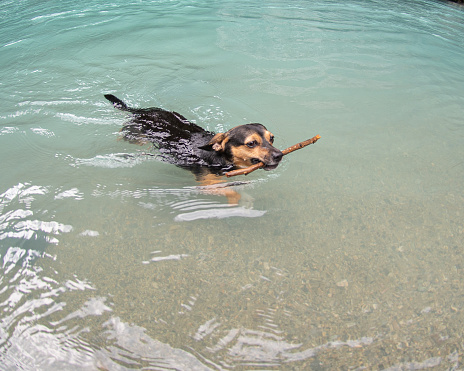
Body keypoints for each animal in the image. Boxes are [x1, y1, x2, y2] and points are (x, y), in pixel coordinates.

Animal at [104, 93, 282, 203]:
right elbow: (232, 192)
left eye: (272, 138)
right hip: (134, 136)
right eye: (251, 143)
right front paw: (236, 201)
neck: (220, 158)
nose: (280, 155)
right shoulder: (207, 184)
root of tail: (141, 111)